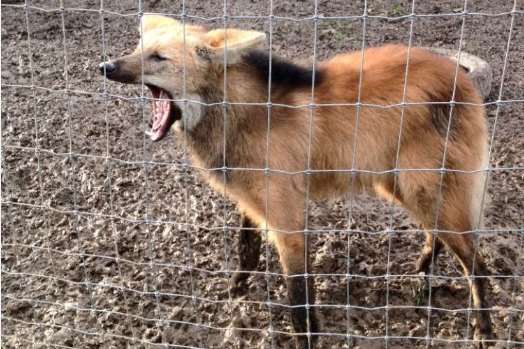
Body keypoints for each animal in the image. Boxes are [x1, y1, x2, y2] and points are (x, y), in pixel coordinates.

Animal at [101, 14, 492, 348]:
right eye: (138, 49)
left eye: (158, 57)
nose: (106, 66)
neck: (242, 114)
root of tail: (460, 76)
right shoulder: (252, 197)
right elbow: (246, 247)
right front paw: (237, 287)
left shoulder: (287, 217)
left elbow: (297, 294)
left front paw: (307, 337)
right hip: (402, 185)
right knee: (439, 235)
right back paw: (421, 275)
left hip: (420, 186)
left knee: (477, 264)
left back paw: (483, 330)